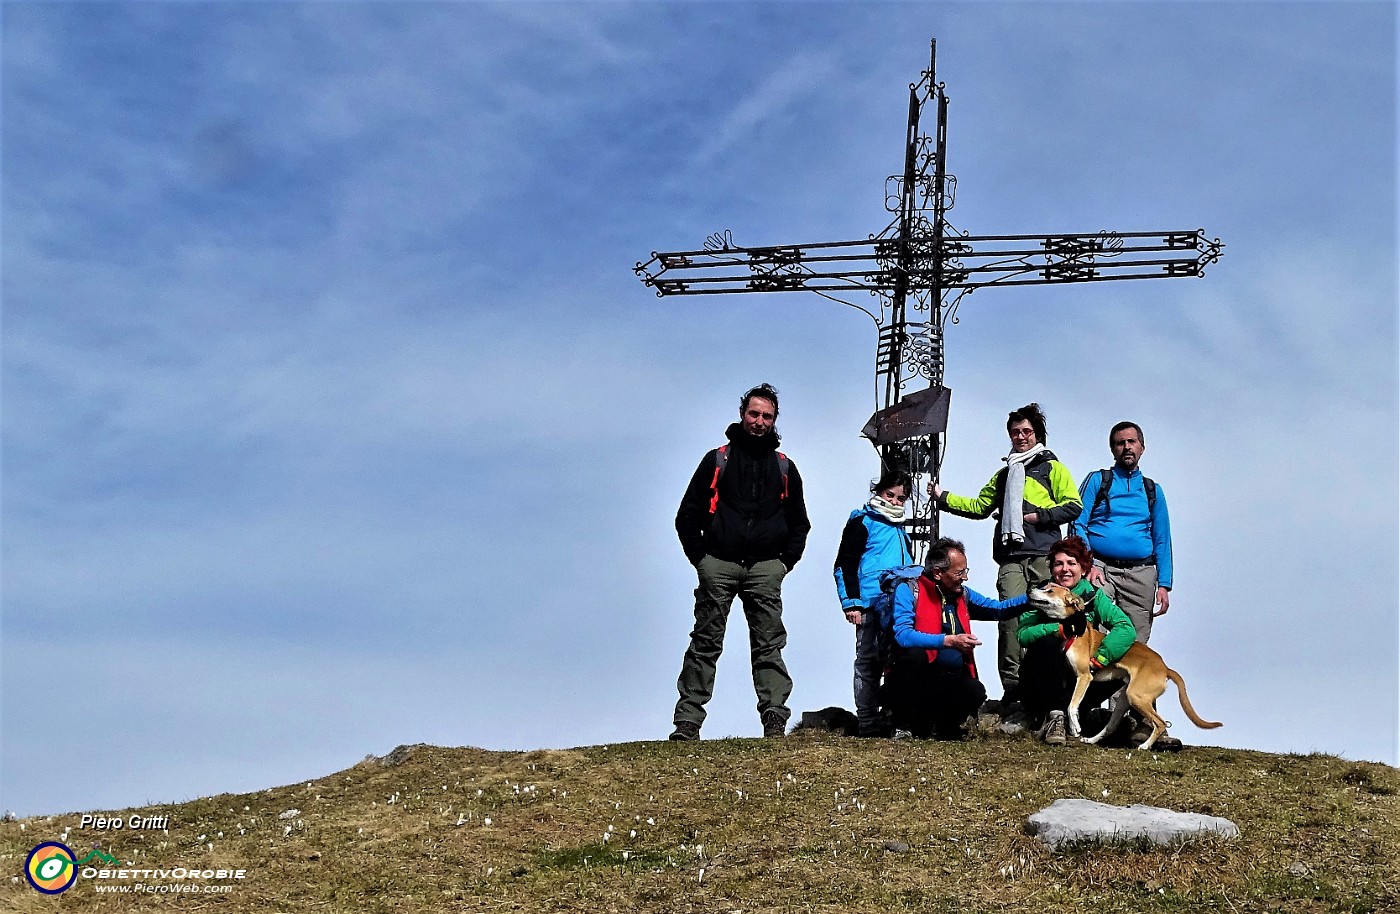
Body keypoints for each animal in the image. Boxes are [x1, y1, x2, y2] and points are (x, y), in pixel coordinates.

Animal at [1024, 585, 1220, 750]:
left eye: (1049, 590)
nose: (1030, 590)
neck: (1072, 627)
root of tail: (1165, 668)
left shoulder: (1085, 676)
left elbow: (1072, 705)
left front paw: (1076, 726)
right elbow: (1068, 702)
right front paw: (1072, 727)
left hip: (1136, 696)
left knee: (1160, 723)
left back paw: (1145, 746)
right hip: (1125, 699)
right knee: (1110, 726)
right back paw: (1092, 740)